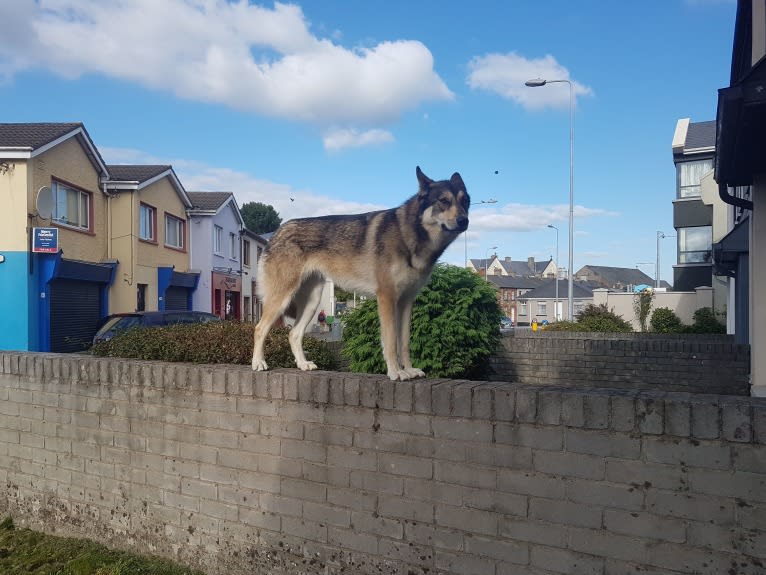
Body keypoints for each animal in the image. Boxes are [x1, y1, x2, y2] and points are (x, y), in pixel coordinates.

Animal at [254, 166, 468, 382]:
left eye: (465, 200)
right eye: (444, 201)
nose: (464, 221)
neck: (409, 234)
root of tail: (277, 232)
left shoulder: (407, 302)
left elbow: (405, 342)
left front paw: (409, 370)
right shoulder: (387, 298)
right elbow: (391, 342)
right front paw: (395, 372)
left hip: (312, 302)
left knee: (294, 334)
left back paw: (303, 365)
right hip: (281, 299)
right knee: (259, 328)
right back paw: (258, 363)